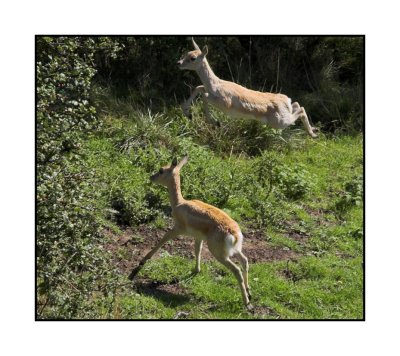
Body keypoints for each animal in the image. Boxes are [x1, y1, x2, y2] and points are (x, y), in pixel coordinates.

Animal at [129, 155, 253, 308]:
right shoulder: (198, 237)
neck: (178, 204)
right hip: (234, 249)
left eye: (161, 170)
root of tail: (234, 234)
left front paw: (137, 268)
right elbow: (197, 251)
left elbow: (161, 241)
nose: (151, 177)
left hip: (219, 253)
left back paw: (247, 303)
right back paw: (249, 292)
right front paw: (196, 270)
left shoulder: (177, 229)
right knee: (245, 261)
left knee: (236, 269)